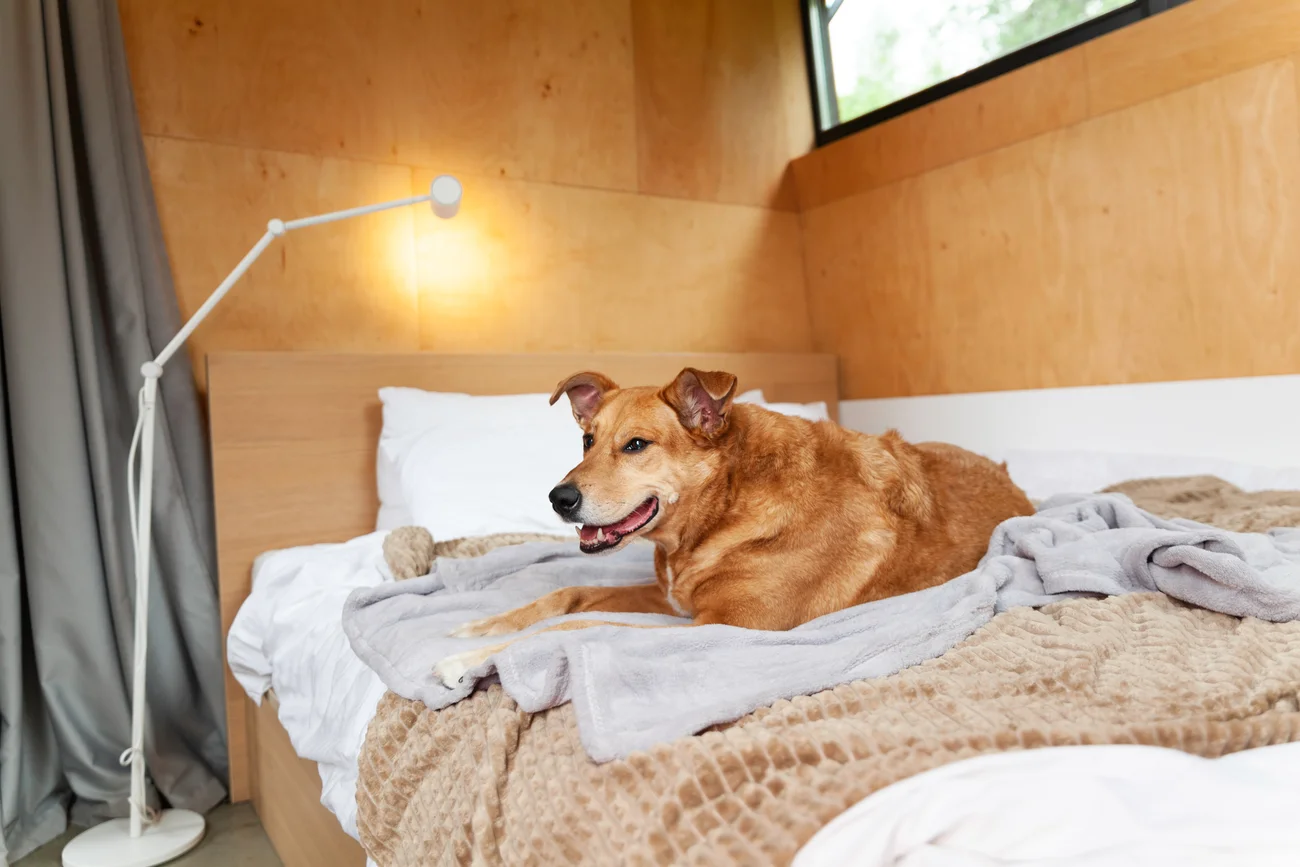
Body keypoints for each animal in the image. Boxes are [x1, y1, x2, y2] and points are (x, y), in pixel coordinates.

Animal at [431, 366, 1029, 686]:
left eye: (636, 445)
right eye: (587, 440)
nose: (559, 499)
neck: (725, 505)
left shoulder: (720, 625)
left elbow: (576, 626)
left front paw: (469, 661)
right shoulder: (672, 600)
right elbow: (569, 595)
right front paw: (482, 627)